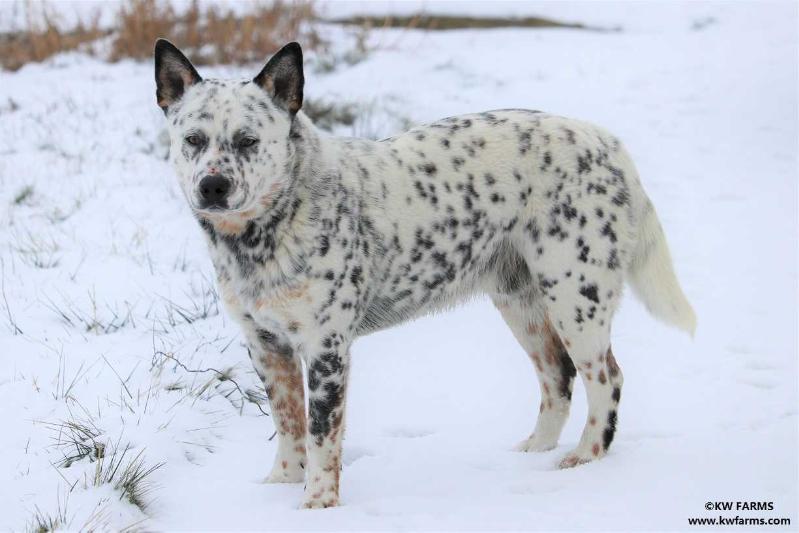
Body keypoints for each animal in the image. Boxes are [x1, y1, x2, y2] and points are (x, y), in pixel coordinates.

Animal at [155, 38, 692, 508]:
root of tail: (609, 142)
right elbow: (289, 425)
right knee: (557, 377)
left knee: (606, 377)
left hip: (576, 298)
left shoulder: (327, 348)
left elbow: (322, 436)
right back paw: (534, 451)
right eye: (193, 140)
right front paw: (278, 487)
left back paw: (585, 457)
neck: (268, 229)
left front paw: (317, 504)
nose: (213, 186)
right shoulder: (266, 345)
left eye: (248, 141)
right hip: (519, 300)